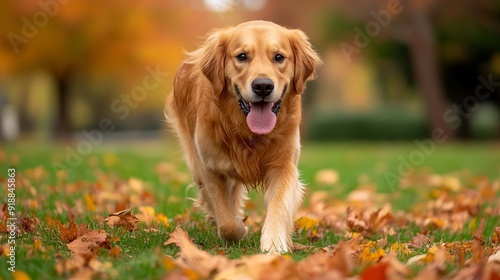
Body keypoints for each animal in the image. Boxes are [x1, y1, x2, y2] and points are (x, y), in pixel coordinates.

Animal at [166, 20, 322, 254]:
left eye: (279, 57)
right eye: (241, 56)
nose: (263, 86)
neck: (248, 133)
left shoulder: (283, 166)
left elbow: (278, 204)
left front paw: (274, 243)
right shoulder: (209, 167)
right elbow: (226, 221)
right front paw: (238, 228)